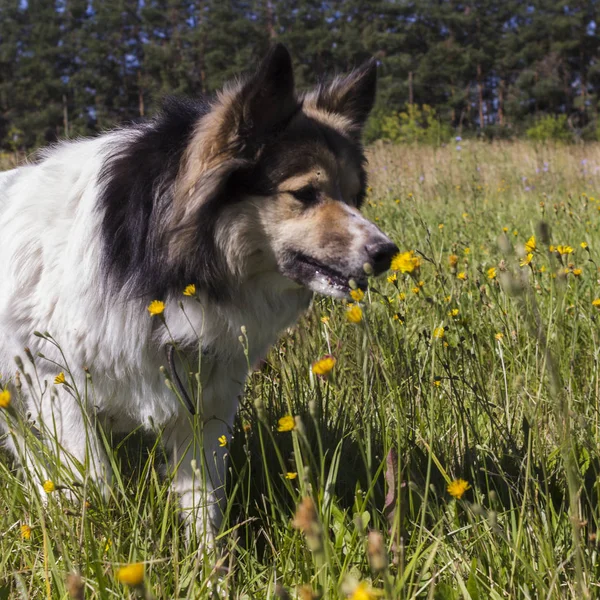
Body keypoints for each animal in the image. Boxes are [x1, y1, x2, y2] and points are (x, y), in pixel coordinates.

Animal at [0, 44, 398, 540]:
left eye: (355, 195)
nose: (387, 252)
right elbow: (96, 486)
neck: (160, 260)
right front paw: (100, 540)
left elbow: (201, 498)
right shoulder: (60, 387)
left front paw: (211, 558)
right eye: (306, 193)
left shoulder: (204, 404)